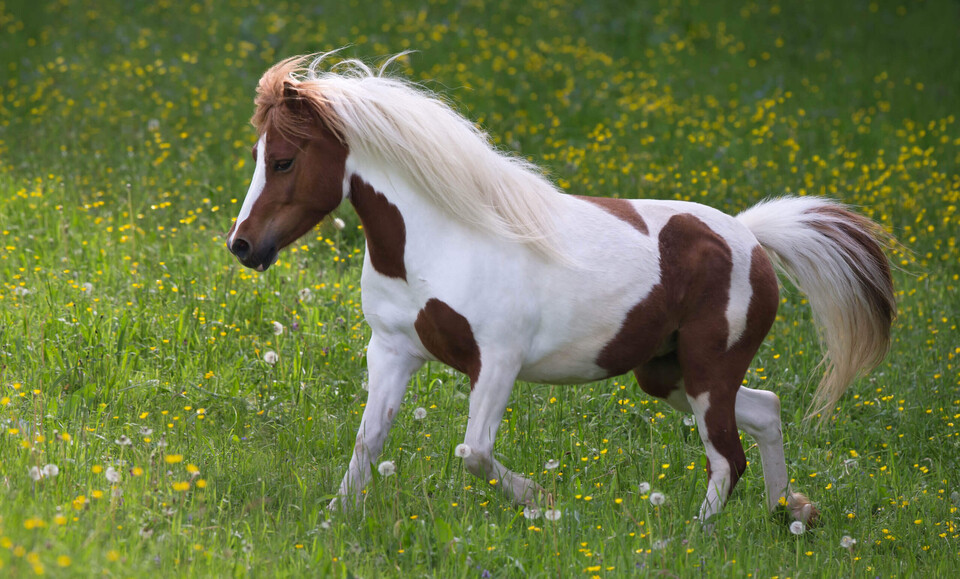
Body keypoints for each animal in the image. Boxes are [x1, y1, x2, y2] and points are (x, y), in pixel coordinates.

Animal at [226, 53, 895, 526]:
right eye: (259, 154)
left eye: (284, 161)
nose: (242, 246)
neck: (438, 243)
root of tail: (752, 238)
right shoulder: (392, 350)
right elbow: (368, 442)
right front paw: (333, 523)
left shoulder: (498, 360)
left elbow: (474, 452)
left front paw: (547, 503)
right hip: (669, 375)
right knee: (765, 412)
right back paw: (791, 514)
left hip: (707, 372)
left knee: (729, 456)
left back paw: (685, 542)